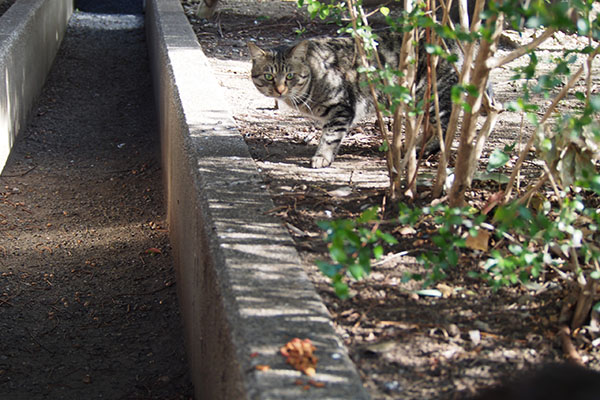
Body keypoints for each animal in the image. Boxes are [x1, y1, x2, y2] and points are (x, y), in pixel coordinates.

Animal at [248, 32, 460, 167]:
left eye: (290, 76)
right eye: (269, 76)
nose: (280, 89)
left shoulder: (342, 107)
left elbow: (330, 135)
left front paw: (322, 156)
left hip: (431, 97)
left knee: (445, 130)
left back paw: (420, 149)